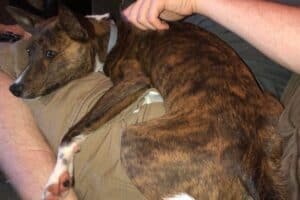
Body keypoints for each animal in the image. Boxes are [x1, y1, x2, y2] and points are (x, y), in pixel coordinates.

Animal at [7, 5, 284, 199]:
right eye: (29, 51)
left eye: (51, 53)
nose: (14, 88)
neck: (111, 38)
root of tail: (252, 154)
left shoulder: (132, 80)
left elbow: (75, 129)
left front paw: (58, 174)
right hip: (272, 106)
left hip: (134, 140)